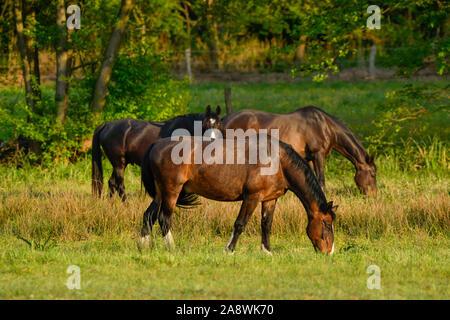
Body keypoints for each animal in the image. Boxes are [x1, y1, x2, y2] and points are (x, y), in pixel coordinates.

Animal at [91, 105, 221, 200]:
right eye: (205, 124)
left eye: (218, 124)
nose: (213, 140)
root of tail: (107, 125)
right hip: (119, 164)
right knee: (120, 186)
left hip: (121, 163)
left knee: (112, 183)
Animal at [141, 134, 338, 254]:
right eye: (326, 224)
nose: (329, 252)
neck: (278, 161)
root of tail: (155, 145)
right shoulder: (252, 197)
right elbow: (240, 224)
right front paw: (229, 250)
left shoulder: (270, 199)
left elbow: (266, 225)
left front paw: (266, 251)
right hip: (171, 191)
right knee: (164, 218)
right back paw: (171, 248)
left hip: (160, 193)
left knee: (149, 215)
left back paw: (142, 246)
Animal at [221, 106, 376, 196]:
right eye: (373, 174)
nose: (373, 196)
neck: (325, 126)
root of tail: (224, 120)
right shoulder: (318, 155)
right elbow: (321, 180)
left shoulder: (310, 158)